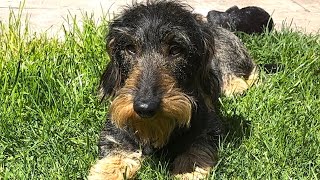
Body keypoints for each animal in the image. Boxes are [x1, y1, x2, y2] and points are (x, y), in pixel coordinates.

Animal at [87, 0, 260, 179]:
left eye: (176, 49)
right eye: (130, 48)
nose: (145, 108)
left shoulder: (209, 128)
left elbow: (196, 148)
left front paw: (187, 170)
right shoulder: (115, 130)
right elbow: (115, 153)